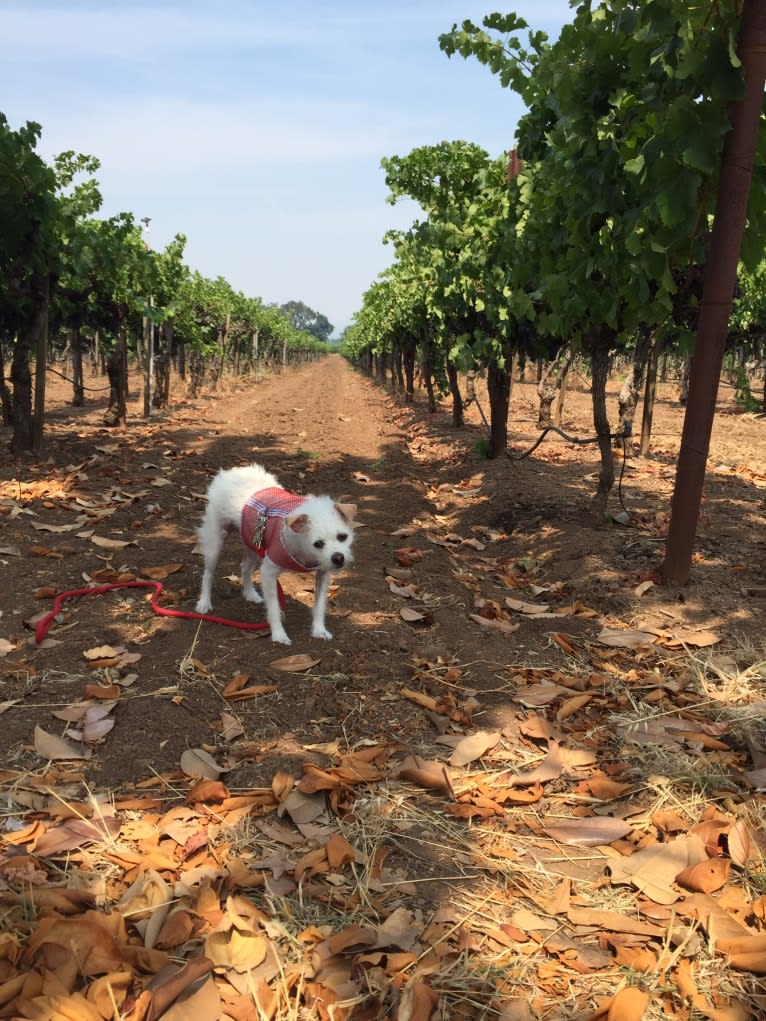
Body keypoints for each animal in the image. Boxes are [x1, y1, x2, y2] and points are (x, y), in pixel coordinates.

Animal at [195, 465, 357, 641]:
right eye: (318, 544)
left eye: (343, 537)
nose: (338, 558)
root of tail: (232, 472)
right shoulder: (268, 573)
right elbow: (273, 608)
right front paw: (279, 634)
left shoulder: (323, 573)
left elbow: (319, 605)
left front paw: (319, 630)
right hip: (216, 543)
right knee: (208, 574)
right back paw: (204, 602)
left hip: (253, 544)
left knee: (245, 567)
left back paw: (250, 594)